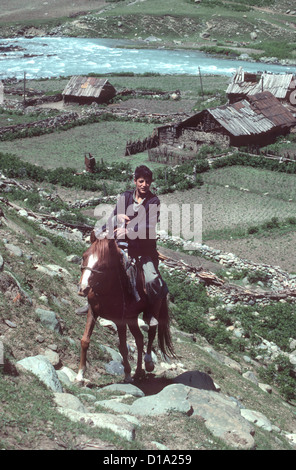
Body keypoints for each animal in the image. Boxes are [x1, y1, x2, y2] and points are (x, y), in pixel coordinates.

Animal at [75, 237, 176, 384]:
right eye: (84, 257)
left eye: (103, 265)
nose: (83, 289)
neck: (108, 289)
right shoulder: (92, 313)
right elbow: (85, 341)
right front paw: (80, 375)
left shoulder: (120, 321)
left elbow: (123, 347)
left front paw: (127, 374)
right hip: (132, 318)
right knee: (139, 339)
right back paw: (139, 371)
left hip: (153, 311)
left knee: (151, 332)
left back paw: (148, 363)